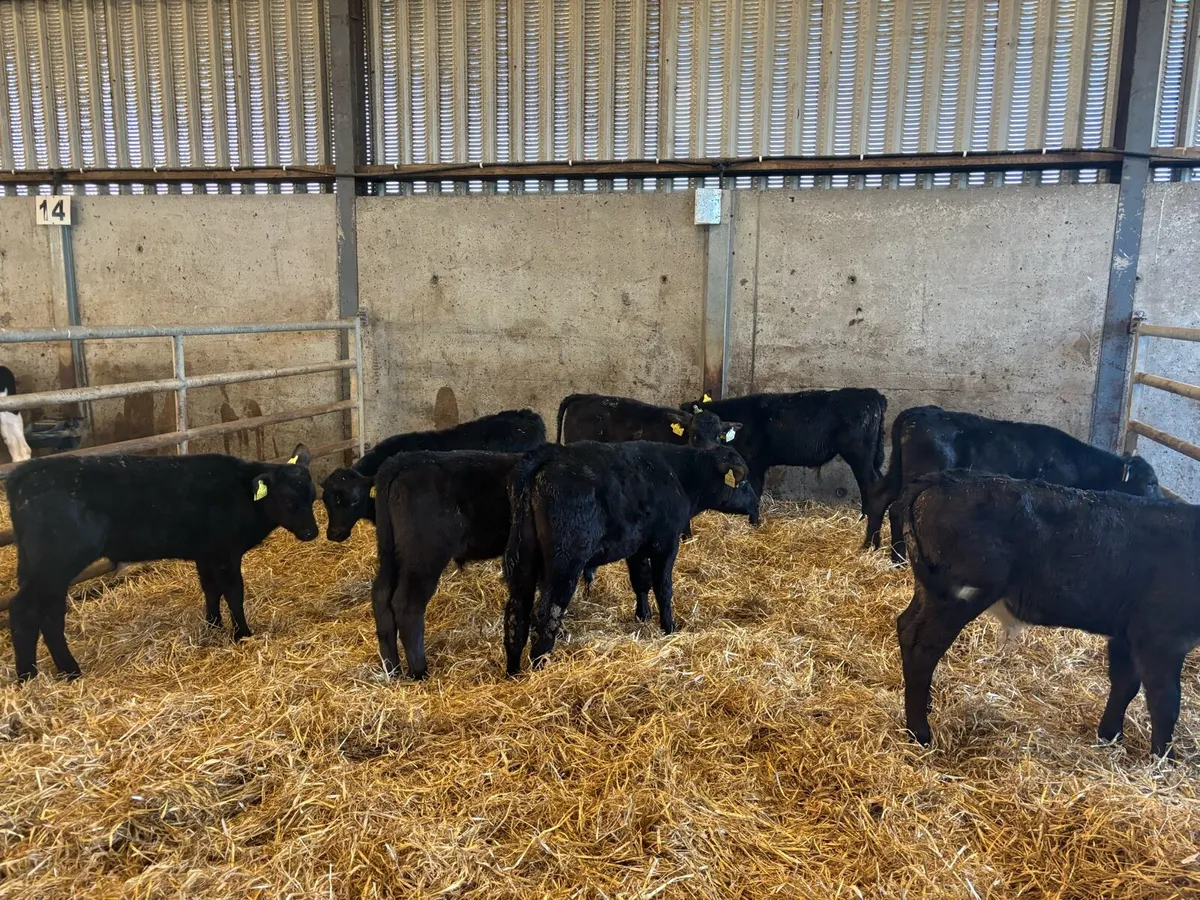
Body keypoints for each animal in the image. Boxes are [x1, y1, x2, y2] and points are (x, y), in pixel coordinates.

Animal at [4, 445, 318, 682]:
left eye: (313, 495)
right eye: (289, 500)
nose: (312, 532)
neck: (242, 495)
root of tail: (24, 475)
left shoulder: (207, 553)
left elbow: (211, 589)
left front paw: (213, 625)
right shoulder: (226, 553)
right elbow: (233, 593)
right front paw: (243, 634)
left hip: (39, 566)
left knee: (48, 613)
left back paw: (56, 672)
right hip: (55, 563)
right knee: (25, 610)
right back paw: (33, 676)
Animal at [502, 440, 759, 676]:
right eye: (744, 482)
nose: (756, 506)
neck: (679, 475)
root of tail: (549, 453)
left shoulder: (637, 547)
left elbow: (641, 581)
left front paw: (643, 616)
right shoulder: (666, 544)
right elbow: (663, 587)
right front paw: (669, 627)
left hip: (523, 558)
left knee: (517, 611)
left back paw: (513, 672)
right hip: (565, 561)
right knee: (546, 612)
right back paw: (540, 668)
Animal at [682, 388, 887, 518]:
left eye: (717, 435)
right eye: (693, 433)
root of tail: (872, 394)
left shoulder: (754, 462)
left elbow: (755, 488)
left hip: (860, 456)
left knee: (868, 482)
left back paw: (863, 518)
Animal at [864, 406, 1163, 562]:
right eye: (1150, 482)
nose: (1162, 501)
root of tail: (916, 412)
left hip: (898, 469)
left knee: (880, 498)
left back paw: (871, 546)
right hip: (918, 472)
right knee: (898, 508)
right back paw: (898, 557)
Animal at [896, 470, 1196, 758]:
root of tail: (945, 480)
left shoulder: (1125, 634)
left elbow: (1125, 684)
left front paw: (1110, 736)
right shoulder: (1160, 638)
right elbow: (1165, 700)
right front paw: (1164, 759)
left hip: (931, 593)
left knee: (905, 626)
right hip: (956, 598)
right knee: (922, 649)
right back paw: (920, 733)